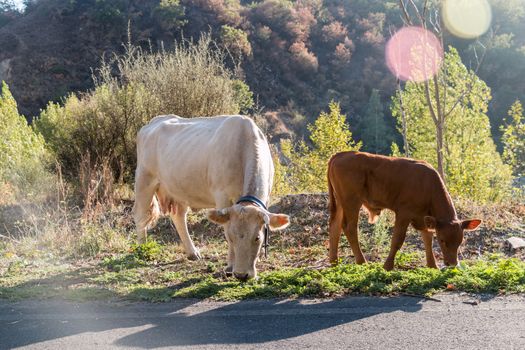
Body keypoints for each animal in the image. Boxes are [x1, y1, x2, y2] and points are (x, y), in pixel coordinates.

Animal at [130, 114, 286, 278]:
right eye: (231, 237)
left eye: (257, 238)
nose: (242, 275)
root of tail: (154, 121)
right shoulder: (222, 196)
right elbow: (226, 227)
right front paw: (230, 266)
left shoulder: (266, 198)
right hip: (144, 179)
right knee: (140, 214)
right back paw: (142, 249)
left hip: (179, 187)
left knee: (178, 216)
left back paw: (192, 252)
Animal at [326, 151, 482, 270]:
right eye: (442, 240)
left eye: (460, 242)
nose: (452, 264)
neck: (428, 186)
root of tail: (341, 154)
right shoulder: (404, 213)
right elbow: (397, 240)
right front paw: (387, 266)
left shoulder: (423, 218)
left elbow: (428, 239)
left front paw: (433, 266)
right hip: (351, 201)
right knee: (349, 227)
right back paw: (362, 262)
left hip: (340, 202)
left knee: (335, 227)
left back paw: (334, 262)